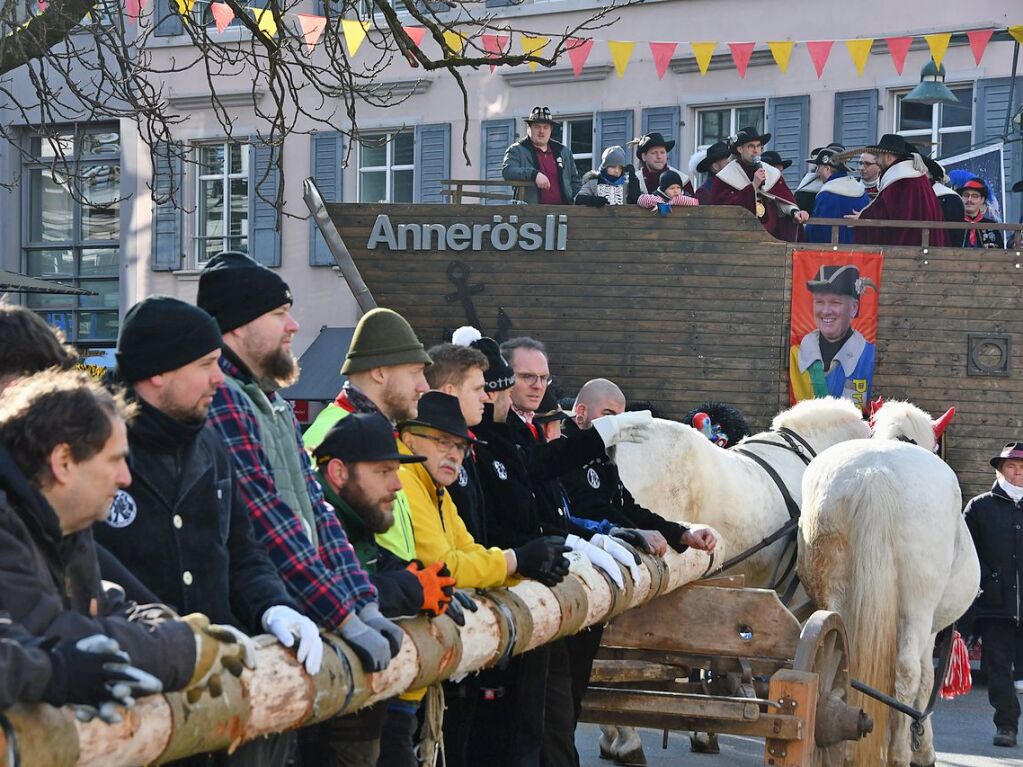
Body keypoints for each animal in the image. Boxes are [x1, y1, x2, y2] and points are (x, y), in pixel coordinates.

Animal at [793, 404, 977, 764]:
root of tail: (875, 475)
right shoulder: (929, 629)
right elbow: (925, 677)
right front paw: (923, 748)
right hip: (917, 606)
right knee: (907, 672)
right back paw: (899, 752)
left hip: (835, 590)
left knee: (843, 657)